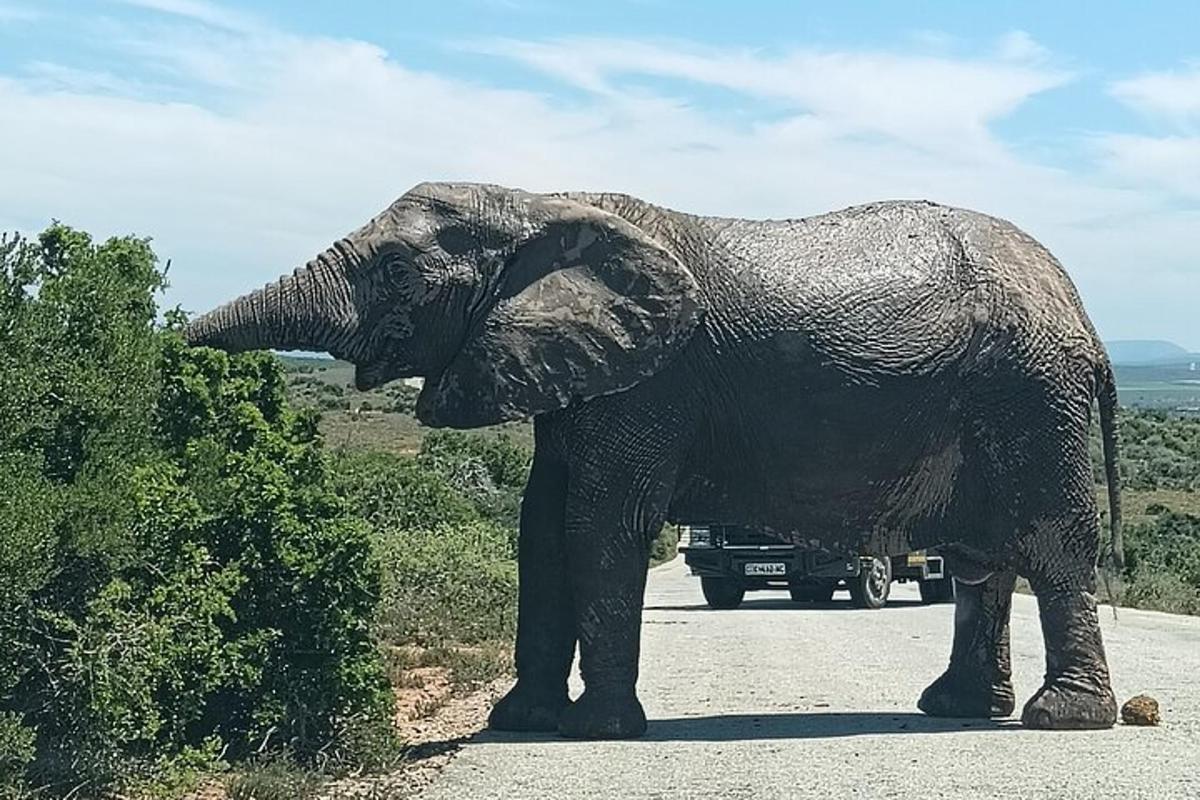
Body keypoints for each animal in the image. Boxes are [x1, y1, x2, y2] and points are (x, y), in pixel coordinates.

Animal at [187, 181, 1123, 738]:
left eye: (393, 269)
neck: (537, 203)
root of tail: (1082, 309)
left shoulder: (649, 386)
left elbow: (598, 524)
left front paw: (597, 731)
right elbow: (540, 527)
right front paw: (519, 722)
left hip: (1031, 396)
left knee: (1051, 546)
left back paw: (1063, 719)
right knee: (979, 564)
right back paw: (957, 709)